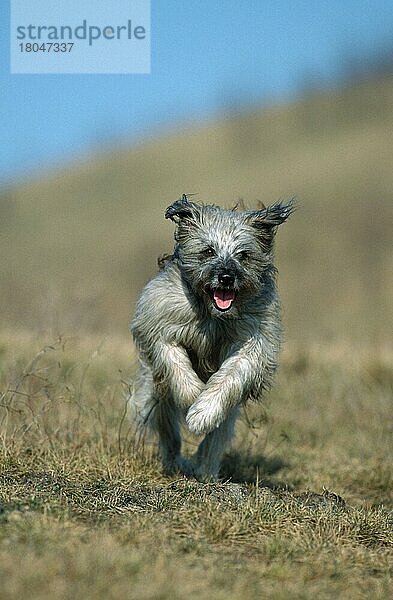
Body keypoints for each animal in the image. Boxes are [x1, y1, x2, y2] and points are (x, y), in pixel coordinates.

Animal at [130, 195, 292, 480]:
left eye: (244, 254)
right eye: (208, 251)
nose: (226, 277)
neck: (214, 316)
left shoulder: (254, 341)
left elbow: (231, 375)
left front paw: (202, 412)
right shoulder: (161, 326)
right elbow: (175, 361)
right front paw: (192, 395)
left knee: (216, 434)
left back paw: (205, 469)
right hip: (154, 393)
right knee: (167, 429)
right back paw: (175, 462)